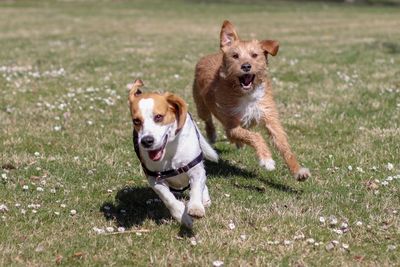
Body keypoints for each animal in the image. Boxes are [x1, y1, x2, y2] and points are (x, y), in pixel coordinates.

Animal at [127, 79, 217, 228]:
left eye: (158, 117)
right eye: (136, 121)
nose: (146, 141)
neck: (169, 151)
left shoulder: (195, 169)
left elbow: (196, 188)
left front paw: (195, 207)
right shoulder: (154, 179)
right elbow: (168, 198)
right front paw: (182, 215)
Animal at [192, 20, 310, 180]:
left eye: (254, 55)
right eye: (235, 56)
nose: (246, 66)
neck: (248, 94)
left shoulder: (269, 117)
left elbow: (283, 145)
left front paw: (298, 170)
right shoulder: (231, 125)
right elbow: (255, 136)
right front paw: (266, 159)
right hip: (201, 105)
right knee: (207, 120)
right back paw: (212, 134)